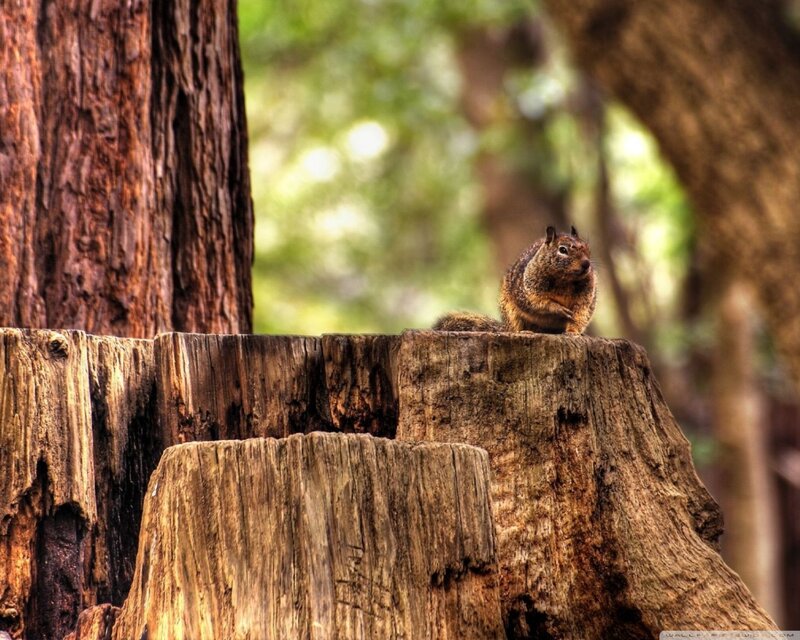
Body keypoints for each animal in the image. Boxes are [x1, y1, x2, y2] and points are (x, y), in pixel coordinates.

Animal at [434, 225, 596, 334]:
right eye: (562, 249)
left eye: (587, 247)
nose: (586, 264)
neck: (564, 280)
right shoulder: (528, 289)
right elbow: (537, 302)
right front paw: (558, 309)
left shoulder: (586, 296)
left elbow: (580, 314)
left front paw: (573, 332)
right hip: (510, 312)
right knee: (516, 327)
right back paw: (525, 332)